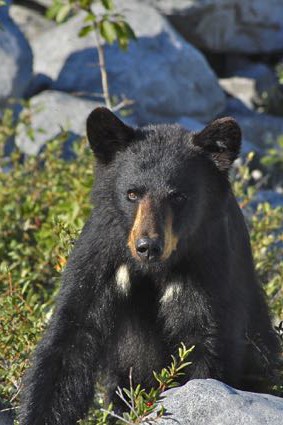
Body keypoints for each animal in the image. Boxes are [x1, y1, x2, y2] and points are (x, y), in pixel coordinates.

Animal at [19, 108, 280, 424]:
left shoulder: (210, 267)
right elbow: (71, 339)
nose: (148, 246)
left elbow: (205, 345)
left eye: (178, 195)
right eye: (132, 193)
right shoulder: (101, 257)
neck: (154, 269)